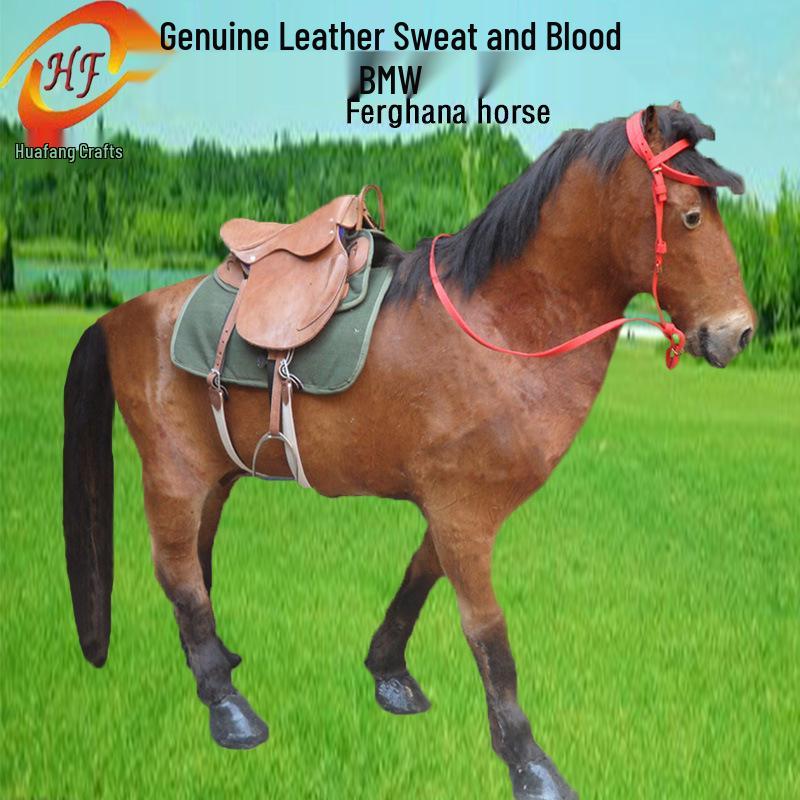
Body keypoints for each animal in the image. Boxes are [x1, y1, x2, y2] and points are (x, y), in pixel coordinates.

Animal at [62, 104, 755, 800]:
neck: (499, 327)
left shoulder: (452, 509)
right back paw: (226, 704)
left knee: (196, 566)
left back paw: (215, 663)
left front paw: (388, 672)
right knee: (177, 571)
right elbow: (488, 632)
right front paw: (526, 757)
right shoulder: (464, 514)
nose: (739, 332)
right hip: (174, 475)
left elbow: (419, 580)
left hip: (215, 476)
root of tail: (121, 315)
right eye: (691, 216)